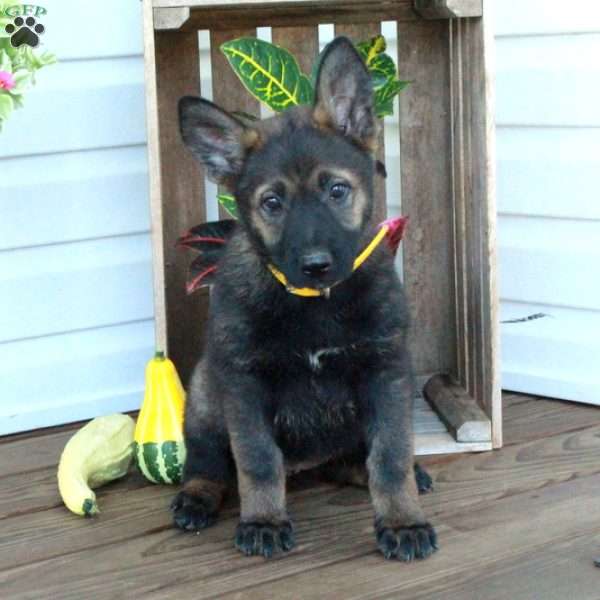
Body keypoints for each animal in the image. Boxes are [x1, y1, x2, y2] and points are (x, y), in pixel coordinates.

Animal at [171, 38, 438, 564]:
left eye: (337, 190)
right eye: (273, 203)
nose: (316, 265)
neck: (314, 304)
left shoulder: (386, 373)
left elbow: (391, 457)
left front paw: (402, 520)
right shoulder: (245, 383)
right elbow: (256, 461)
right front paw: (263, 520)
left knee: (355, 461)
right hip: (208, 391)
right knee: (209, 462)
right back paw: (197, 497)